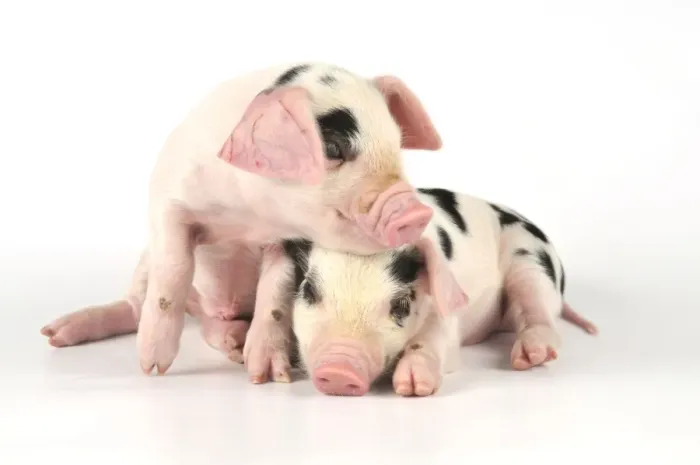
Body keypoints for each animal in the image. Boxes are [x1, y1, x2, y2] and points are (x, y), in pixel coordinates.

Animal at [39, 62, 443, 376]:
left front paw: (268, 375)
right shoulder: (167, 201)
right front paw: (153, 368)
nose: (417, 210)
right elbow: (173, 269)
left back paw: (234, 342)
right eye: (332, 148)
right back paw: (55, 334)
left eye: (396, 143)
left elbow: (276, 290)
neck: (243, 215)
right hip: (143, 263)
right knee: (138, 304)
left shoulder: (287, 240)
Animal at [249, 188, 598, 396]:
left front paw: (413, 387)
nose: (339, 369)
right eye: (309, 289)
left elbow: (434, 335)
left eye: (401, 304)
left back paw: (530, 358)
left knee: (540, 314)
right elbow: (272, 297)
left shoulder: (447, 310)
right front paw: (265, 376)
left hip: (529, 258)